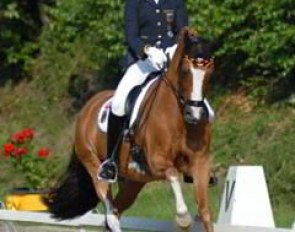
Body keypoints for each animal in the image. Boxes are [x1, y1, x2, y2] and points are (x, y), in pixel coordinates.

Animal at [44, 27, 215, 232]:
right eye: (184, 71)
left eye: (210, 71)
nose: (195, 114)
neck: (178, 119)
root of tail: (87, 108)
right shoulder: (158, 162)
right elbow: (174, 178)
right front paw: (183, 219)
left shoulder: (200, 163)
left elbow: (205, 213)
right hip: (95, 168)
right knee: (111, 215)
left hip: (134, 182)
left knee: (116, 211)